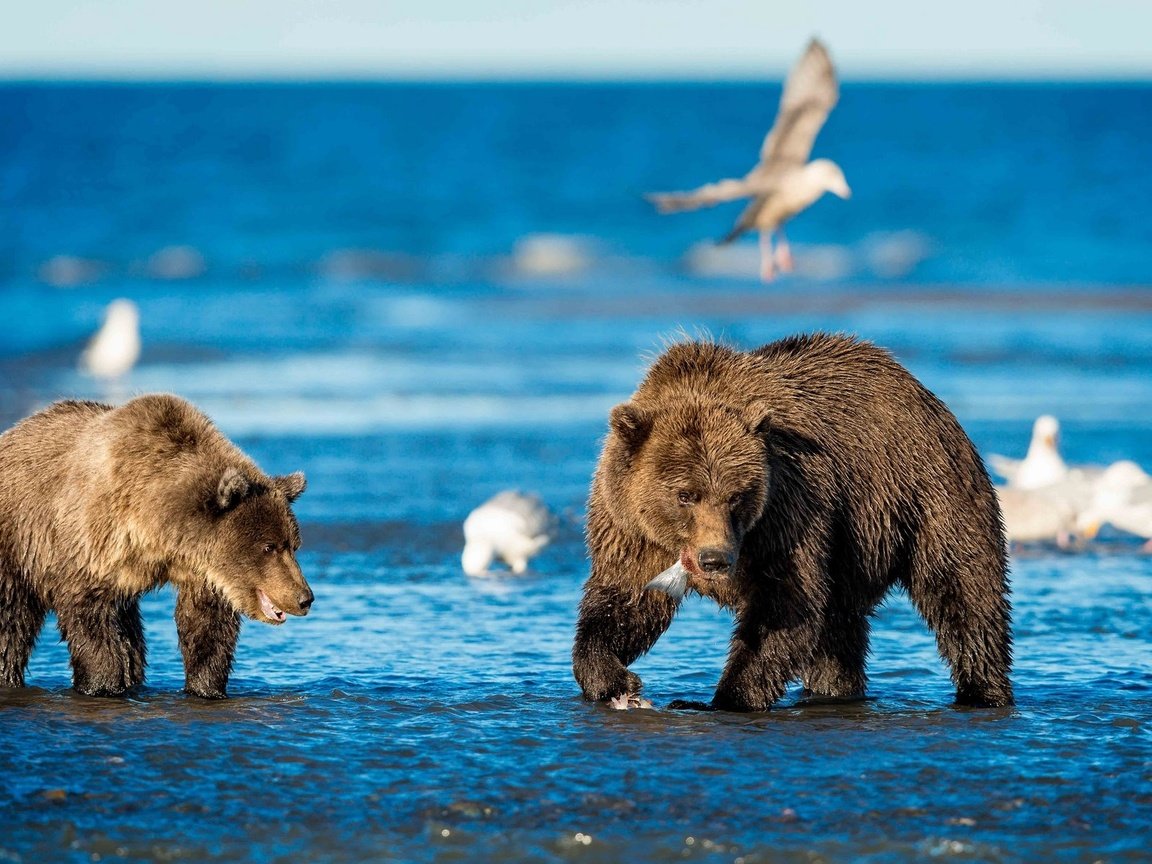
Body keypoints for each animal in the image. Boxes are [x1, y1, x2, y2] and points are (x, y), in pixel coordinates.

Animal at [0, 396, 313, 700]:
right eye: (269, 546)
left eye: (293, 544)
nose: (305, 598)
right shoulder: (89, 545)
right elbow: (90, 621)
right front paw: (101, 685)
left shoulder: (200, 572)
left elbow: (206, 628)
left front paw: (207, 688)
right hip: (15, 548)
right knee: (10, 622)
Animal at [571, 334, 1013, 714]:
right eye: (685, 495)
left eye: (736, 495)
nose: (715, 559)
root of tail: (924, 394)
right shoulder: (633, 532)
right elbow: (625, 603)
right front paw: (617, 679)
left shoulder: (787, 512)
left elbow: (785, 607)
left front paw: (720, 698)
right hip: (852, 550)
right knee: (838, 632)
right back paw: (834, 690)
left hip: (925, 496)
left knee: (963, 591)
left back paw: (983, 691)